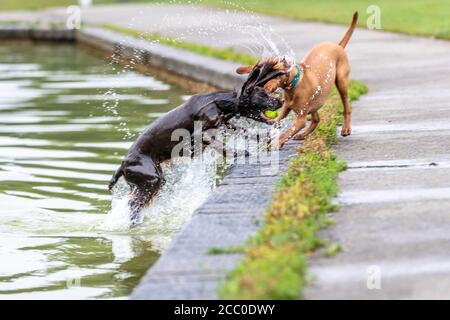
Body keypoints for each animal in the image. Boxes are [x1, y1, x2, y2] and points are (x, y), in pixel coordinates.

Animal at [108, 70, 282, 225]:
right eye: (264, 95)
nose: (280, 101)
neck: (219, 102)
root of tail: (122, 165)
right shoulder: (202, 134)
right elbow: (223, 146)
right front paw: (238, 153)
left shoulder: (226, 124)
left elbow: (246, 132)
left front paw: (265, 136)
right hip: (152, 180)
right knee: (134, 205)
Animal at [236, 11, 358, 149]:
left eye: (275, 75)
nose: (262, 87)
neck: (293, 86)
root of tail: (338, 46)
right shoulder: (285, 108)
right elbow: (276, 123)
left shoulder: (300, 120)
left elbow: (288, 131)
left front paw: (276, 143)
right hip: (316, 101)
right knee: (316, 119)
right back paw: (303, 134)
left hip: (342, 83)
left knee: (346, 107)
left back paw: (346, 128)